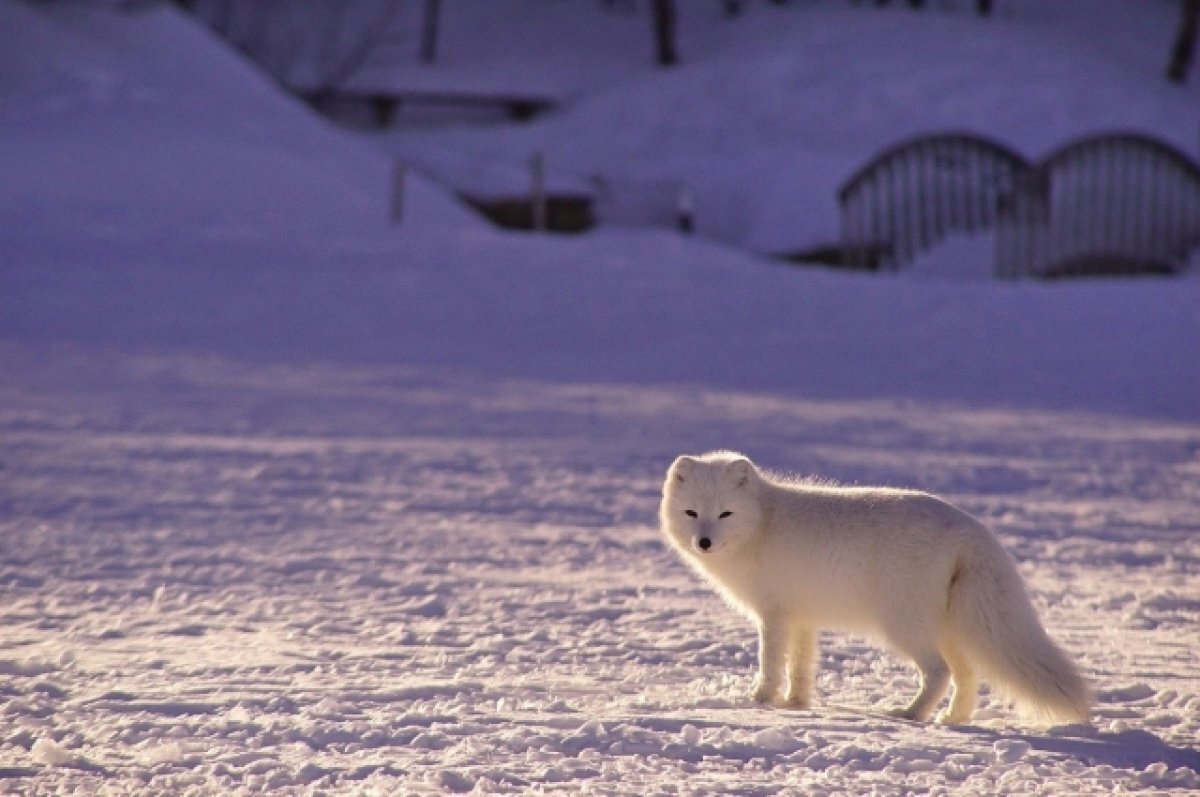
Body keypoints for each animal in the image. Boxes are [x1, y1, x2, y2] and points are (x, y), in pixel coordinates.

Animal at [662, 451, 1094, 724]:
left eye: (725, 514)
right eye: (691, 513)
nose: (704, 542)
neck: (762, 524)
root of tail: (970, 528)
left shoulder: (775, 616)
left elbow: (770, 664)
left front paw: (759, 702)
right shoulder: (803, 617)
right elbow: (801, 667)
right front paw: (795, 704)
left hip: (903, 626)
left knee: (939, 672)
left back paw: (911, 714)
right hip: (950, 628)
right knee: (968, 676)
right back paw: (952, 719)